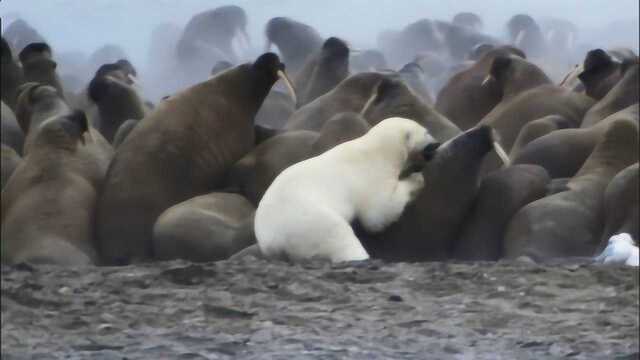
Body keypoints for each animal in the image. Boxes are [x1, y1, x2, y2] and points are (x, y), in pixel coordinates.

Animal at [255, 117, 440, 262]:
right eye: (426, 132)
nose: (437, 143)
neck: (379, 150)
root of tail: (271, 241)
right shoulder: (371, 174)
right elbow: (377, 214)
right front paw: (416, 180)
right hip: (307, 221)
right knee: (338, 235)